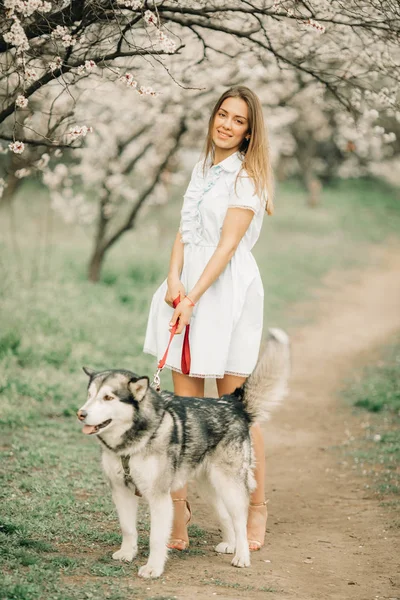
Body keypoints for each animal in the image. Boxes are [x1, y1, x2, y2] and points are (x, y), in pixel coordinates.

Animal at [76, 326, 290, 580]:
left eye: (108, 397)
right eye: (90, 395)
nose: (81, 413)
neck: (133, 442)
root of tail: (231, 403)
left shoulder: (158, 496)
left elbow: (156, 538)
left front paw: (153, 568)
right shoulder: (121, 490)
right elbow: (128, 528)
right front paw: (127, 553)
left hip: (229, 484)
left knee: (240, 520)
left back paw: (242, 555)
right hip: (210, 486)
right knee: (225, 515)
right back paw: (230, 544)